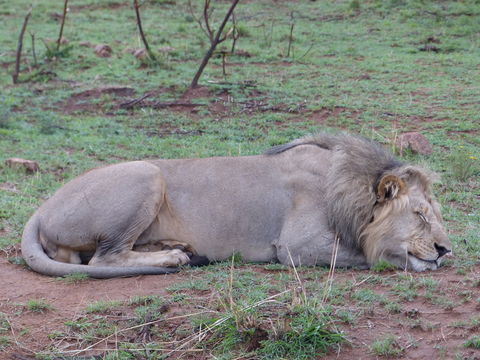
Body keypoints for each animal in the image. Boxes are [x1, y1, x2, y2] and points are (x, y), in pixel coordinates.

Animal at [20, 133, 452, 278]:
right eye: (419, 214)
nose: (445, 250)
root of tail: (40, 209)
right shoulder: (296, 246)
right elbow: (368, 253)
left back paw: (177, 249)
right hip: (147, 173)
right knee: (104, 258)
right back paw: (174, 258)